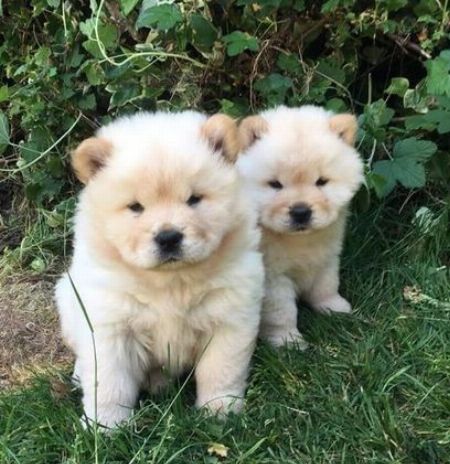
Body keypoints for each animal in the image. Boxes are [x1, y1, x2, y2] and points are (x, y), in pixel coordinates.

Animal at [54, 111, 264, 428]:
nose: (168, 237)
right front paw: (105, 426)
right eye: (136, 207)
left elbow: (220, 370)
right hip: (68, 298)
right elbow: (109, 382)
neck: (171, 282)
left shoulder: (229, 316)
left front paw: (220, 411)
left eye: (194, 199)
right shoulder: (110, 326)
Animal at [237, 104, 364, 344]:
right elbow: (282, 311)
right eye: (275, 184)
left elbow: (326, 285)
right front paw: (287, 340)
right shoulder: (273, 277)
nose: (300, 211)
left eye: (321, 182)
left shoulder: (327, 257)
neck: (300, 241)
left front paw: (334, 308)